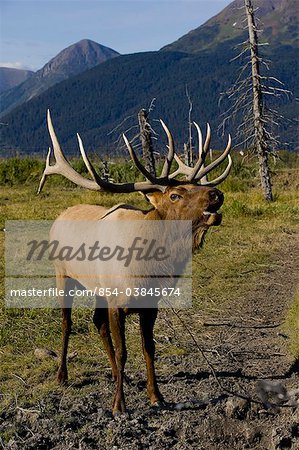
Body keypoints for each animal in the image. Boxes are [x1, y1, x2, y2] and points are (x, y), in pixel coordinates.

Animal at [38, 110, 233, 414]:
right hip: (63, 274)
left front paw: (156, 396)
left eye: (196, 186)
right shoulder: (117, 302)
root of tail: (61, 215)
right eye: (175, 194)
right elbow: (123, 350)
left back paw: (121, 377)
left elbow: (148, 347)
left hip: (98, 288)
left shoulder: (149, 303)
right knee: (67, 323)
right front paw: (119, 404)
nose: (216, 193)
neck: (147, 268)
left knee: (97, 322)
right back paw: (62, 375)